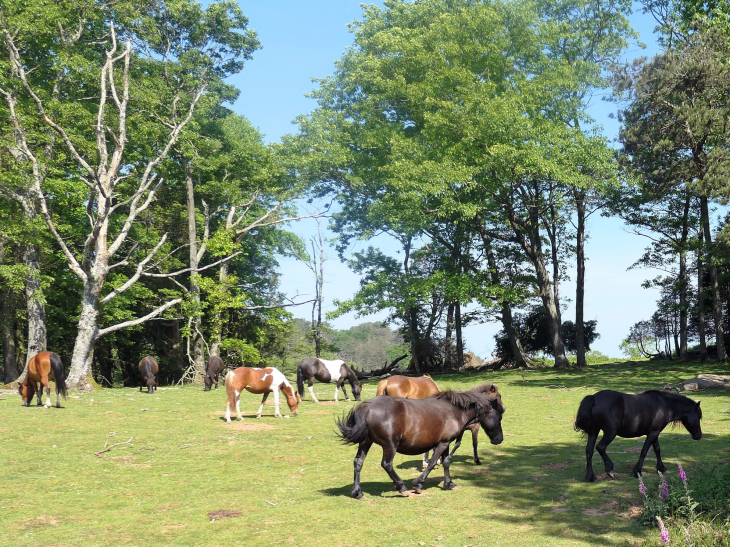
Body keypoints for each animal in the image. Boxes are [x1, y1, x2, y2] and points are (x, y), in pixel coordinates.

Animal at [334, 386, 500, 500]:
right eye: (500, 414)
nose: (499, 439)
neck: (455, 410)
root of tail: (366, 406)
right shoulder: (442, 444)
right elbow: (432, 462)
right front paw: (418, 484)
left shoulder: (446, 442)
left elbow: (446, 461)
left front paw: (449, 483)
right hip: (390, 445)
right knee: (387, 464)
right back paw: (402, 488)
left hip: (366, 442)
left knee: (358, 462)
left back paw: (357, 492)